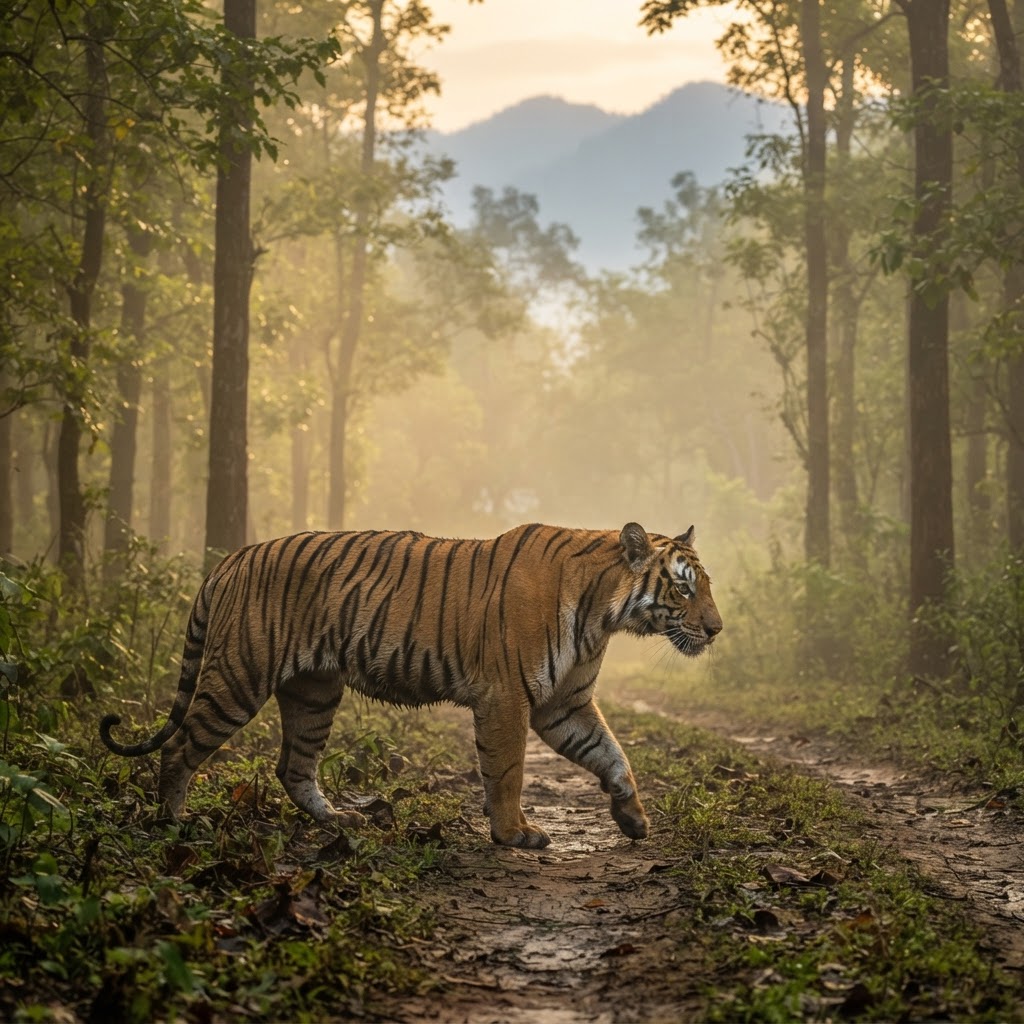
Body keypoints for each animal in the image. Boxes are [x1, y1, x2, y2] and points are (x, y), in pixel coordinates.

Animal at [100, 522, 722, 849]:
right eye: (684, 589)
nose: (717, 629)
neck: (604, 615)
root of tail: (231, 558)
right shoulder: (507, 698)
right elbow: (507, 771)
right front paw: (513, 833)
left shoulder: (563, 705)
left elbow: (613, 756)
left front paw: (633, 818)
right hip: (238, 675)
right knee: (181, 747)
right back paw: (173, 824)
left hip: (314, 690)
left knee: (293, 767)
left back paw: (340, 820)